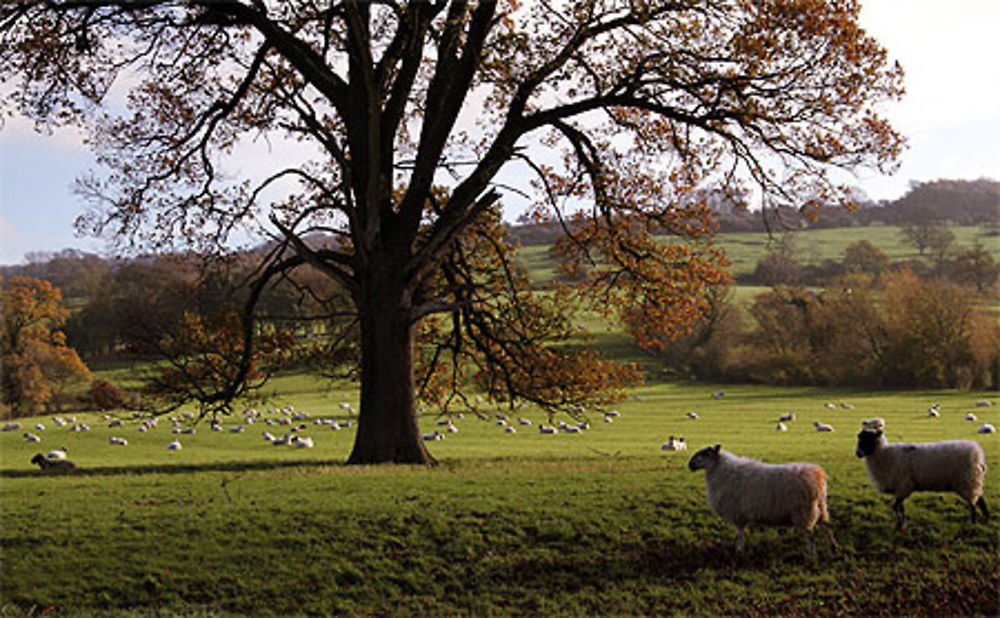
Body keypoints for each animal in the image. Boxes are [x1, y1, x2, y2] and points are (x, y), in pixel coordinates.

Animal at [688, 442, 836, 552]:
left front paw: (739, 550)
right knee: (827, 525)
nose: (690, 464)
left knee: (810, 534)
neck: (721, 471)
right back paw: (833, 547)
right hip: (821, 506)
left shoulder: (738, 513)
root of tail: (818, 476)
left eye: (705, 454)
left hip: (804, 511)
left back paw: (812, 554)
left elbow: (739, 534)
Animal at [856, 424, 988, 528]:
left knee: (973, 504)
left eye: (868, 439)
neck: (884, 454)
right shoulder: (900, 488)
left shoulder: (904, 485)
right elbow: (900, 507)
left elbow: (895, 506)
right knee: (980, 499)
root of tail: (978, 455)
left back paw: (973, 523)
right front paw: (902, 524)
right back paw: (986, 517)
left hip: (967, 482)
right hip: (973, 481)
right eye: (859, 437)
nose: (857, 453)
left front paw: (900, 525)